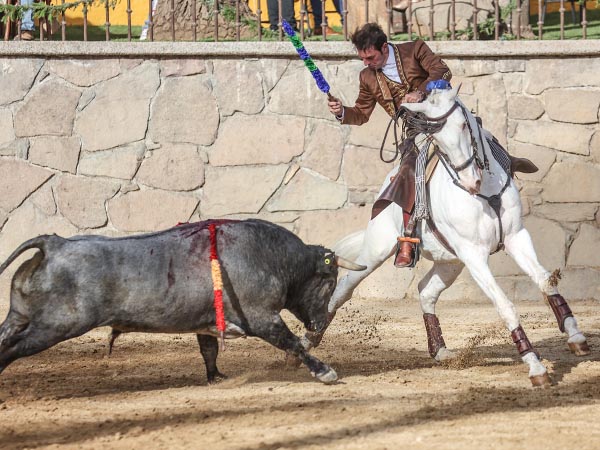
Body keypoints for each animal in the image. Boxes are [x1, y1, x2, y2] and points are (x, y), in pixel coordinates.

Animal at [0, 220, 366, 384]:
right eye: (329, 282)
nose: (320, 323)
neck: (271, 256)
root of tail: (55, 243)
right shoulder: (263, 318)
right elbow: (292, 343)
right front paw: (325, 371)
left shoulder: (207, 323)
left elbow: (209, 350)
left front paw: (216, 377)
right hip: (57, 325)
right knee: (13, 349)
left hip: (19, 316)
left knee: (5, 338)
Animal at [322, 84, 588, 386]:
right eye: (436, 136)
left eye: (463, 125)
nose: (471, 182)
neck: (485, 189)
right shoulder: (473, 255)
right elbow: (504, 305)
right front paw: (535, 367)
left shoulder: (516, 236)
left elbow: (545, 280)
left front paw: (576, 337)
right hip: (377, 250)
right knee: (345, 287)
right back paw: (310, 340)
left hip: (450, 262)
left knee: (426, 291)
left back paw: (440, 350)